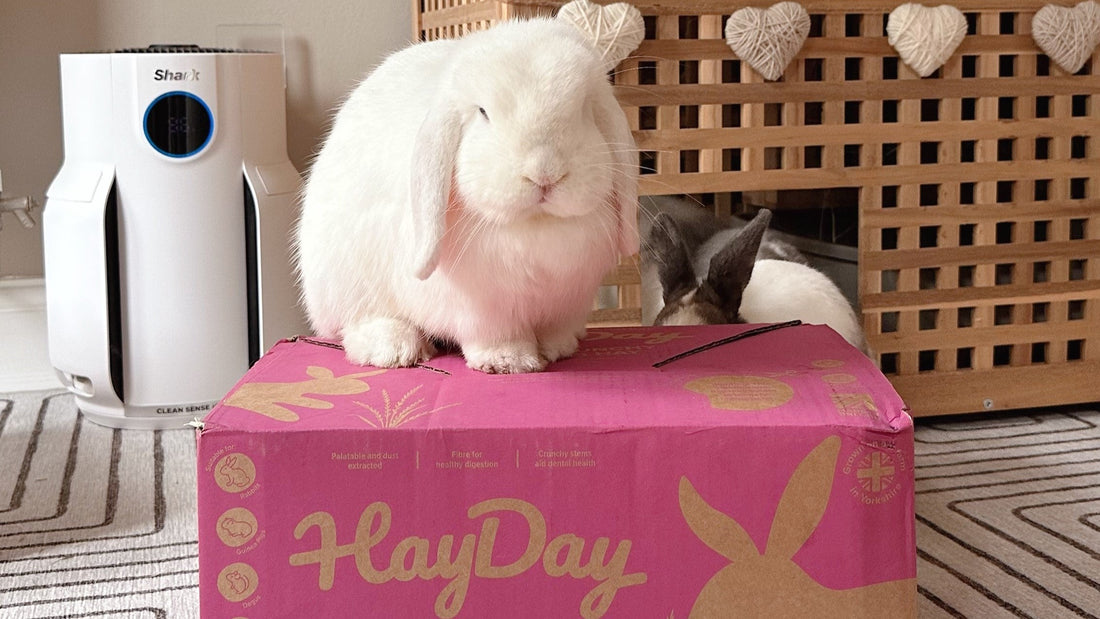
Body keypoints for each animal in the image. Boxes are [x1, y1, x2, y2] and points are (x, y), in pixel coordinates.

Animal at [294, 14, 639, 375]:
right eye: (483, 113)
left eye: (585, 109)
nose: (544, 173)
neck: (535, 226)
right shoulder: (483, 311)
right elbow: (497, 336)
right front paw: (509, 362)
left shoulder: (568, 301)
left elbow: (555, 331)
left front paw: (558, 349)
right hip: (348, 282)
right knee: (359, 322)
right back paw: (396, 349)